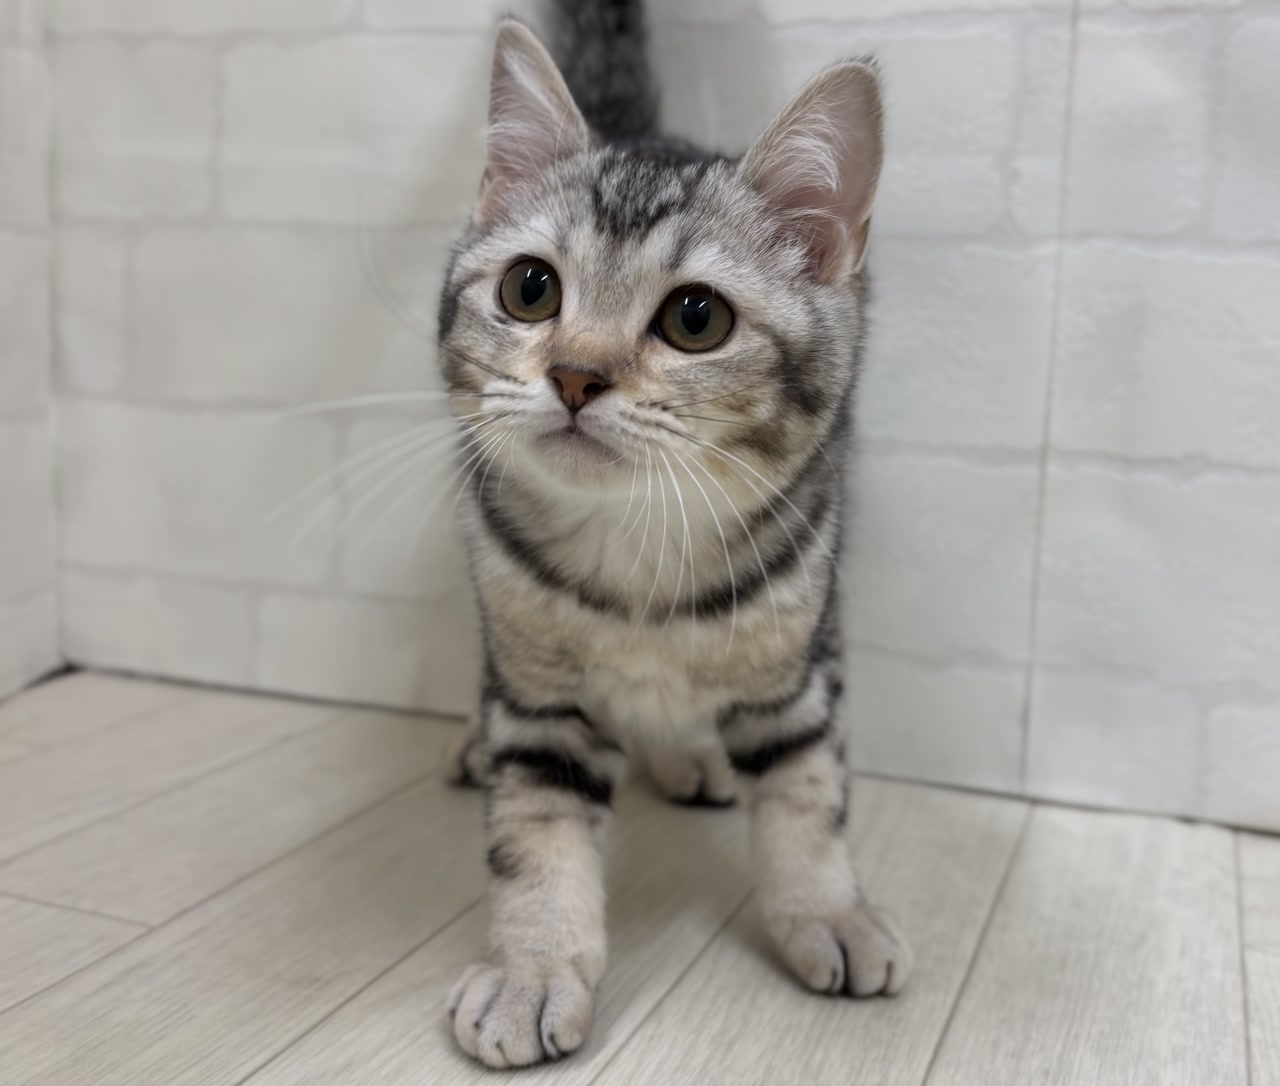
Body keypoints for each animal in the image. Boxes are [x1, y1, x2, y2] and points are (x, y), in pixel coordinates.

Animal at [438, 0, 911, 1068]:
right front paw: (534, 971)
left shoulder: (798, 657)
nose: (575, 374)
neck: (635, 560)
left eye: (697, 318)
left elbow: (809, 795)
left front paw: (831, 914)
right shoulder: (538, 695)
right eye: (530, 290)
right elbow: (537, 836)